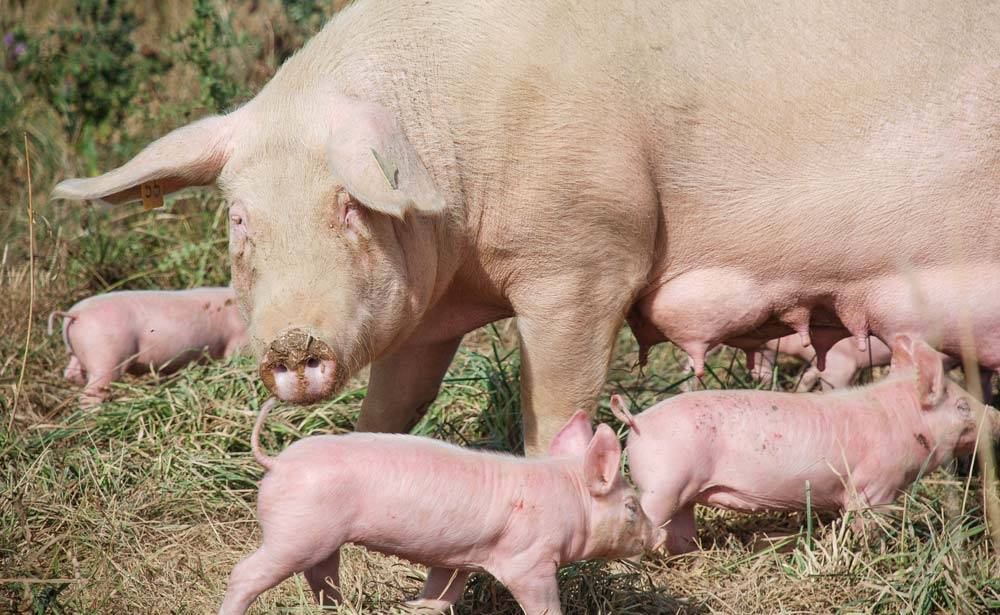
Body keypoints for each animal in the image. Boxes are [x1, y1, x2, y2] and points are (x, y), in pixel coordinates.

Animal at [52, 2, 1000, 454]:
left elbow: (556, 404)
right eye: (241, 217)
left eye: (350, 204)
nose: (291, 343)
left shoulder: (586, 254)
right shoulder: (427, 313)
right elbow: (393, 404)